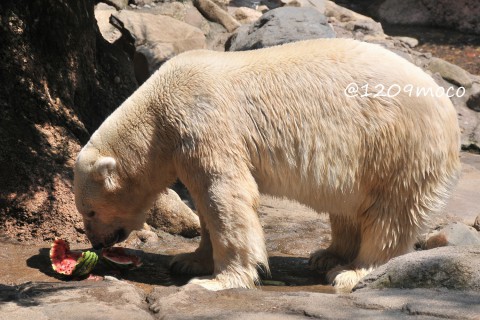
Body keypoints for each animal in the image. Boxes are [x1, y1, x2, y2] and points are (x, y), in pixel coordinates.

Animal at [74, 38, 462, 292]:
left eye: (89, 211)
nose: (96, 242)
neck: (157, 116)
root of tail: (445, 104)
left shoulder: (203, 123)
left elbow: (226, 196)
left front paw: (215, 280)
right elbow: (204, 202)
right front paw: (189, 260)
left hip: (395, 145)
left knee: (389, 213)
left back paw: (352, 271)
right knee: (349, 205)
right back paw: (326, 255)